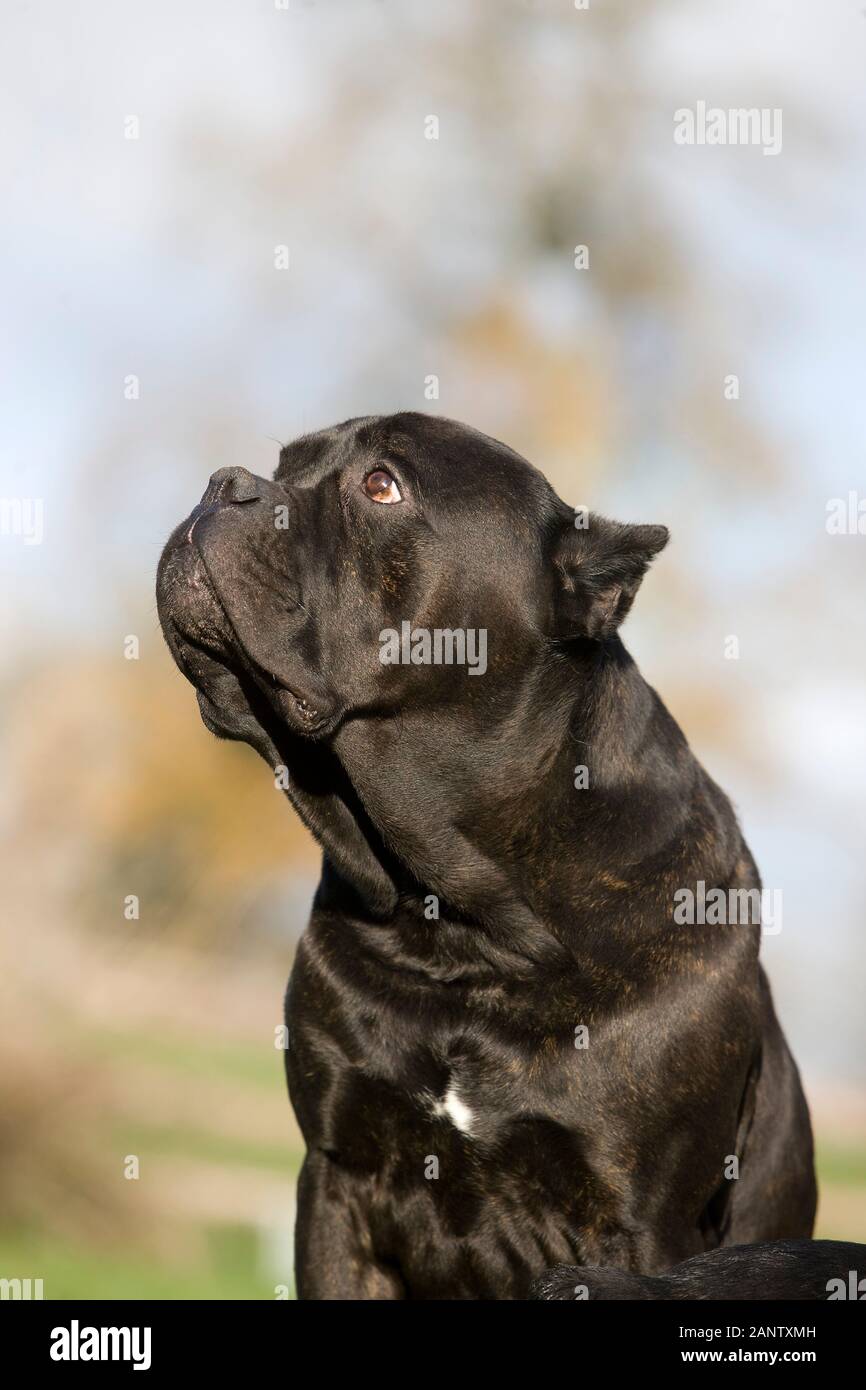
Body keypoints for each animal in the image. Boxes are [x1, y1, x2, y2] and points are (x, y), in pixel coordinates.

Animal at [157, 405, 817, 1295]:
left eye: (382, 485)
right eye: (285, 464)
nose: (224, 484)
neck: (467, 930)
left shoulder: (640, 1229)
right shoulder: (338, 1181)